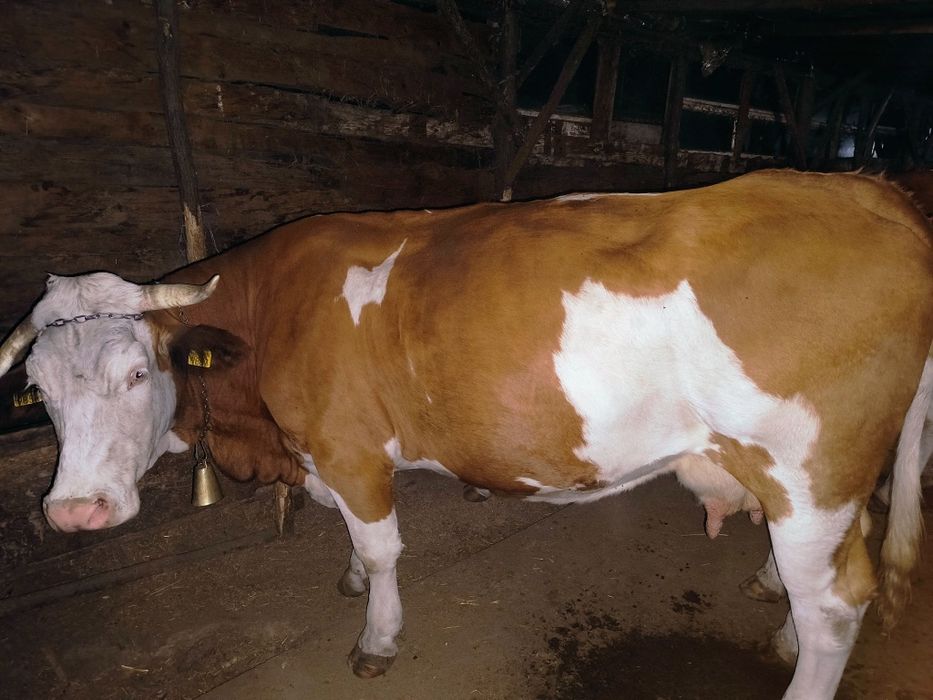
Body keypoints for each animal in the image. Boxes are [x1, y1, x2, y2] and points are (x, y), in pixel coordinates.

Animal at [0, 170, 930, 699]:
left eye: (136, 374)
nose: (75, 511)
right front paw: (346, 575)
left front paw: (377, 635)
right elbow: (352, 538)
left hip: (809, 473)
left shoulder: (347, 447)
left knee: (836, 605)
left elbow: (382, 548)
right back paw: (777, 617)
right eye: (39, 391)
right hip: (826, 478)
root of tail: (867, 192)